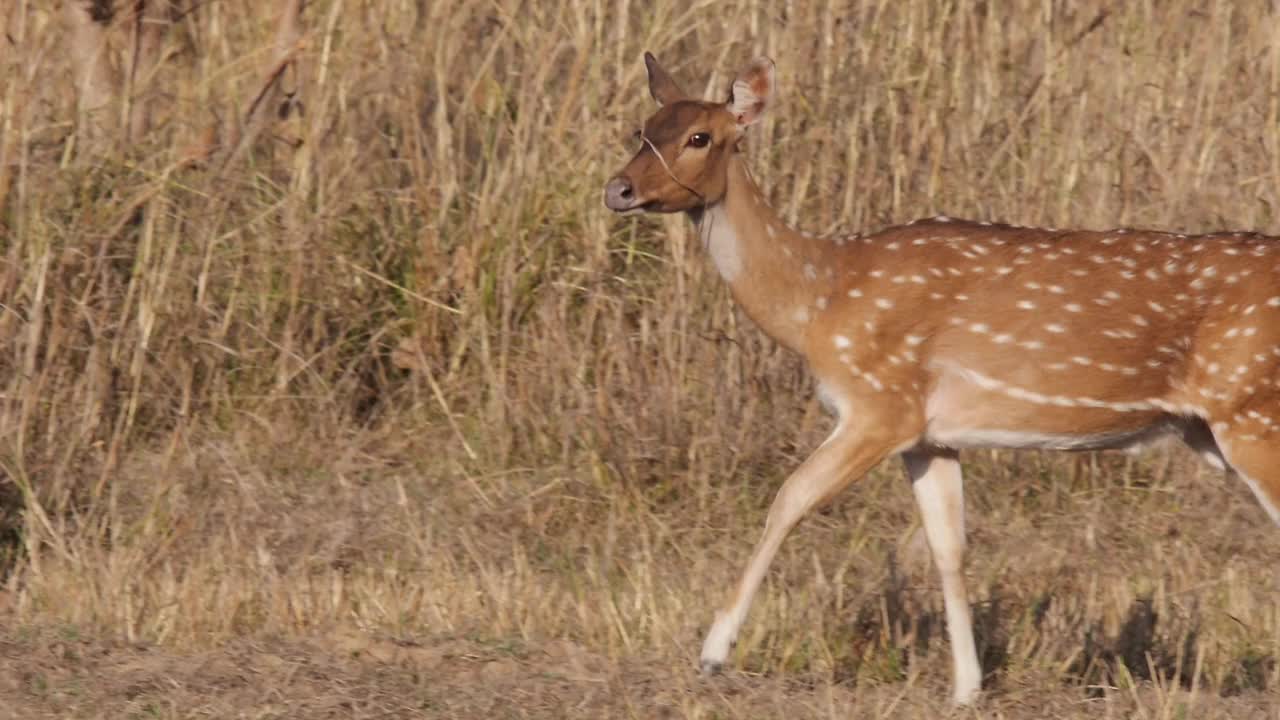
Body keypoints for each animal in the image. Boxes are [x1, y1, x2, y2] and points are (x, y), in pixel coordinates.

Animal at [604, 53, 1280, 702]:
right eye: (643, 128)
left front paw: (713, 652)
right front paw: (966, 687)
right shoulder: (931, 436)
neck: (817, 299)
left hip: (1253, 413)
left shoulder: (881, 403)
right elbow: (948, 547)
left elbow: (790, 498)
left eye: (700, 136)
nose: (618, 188)